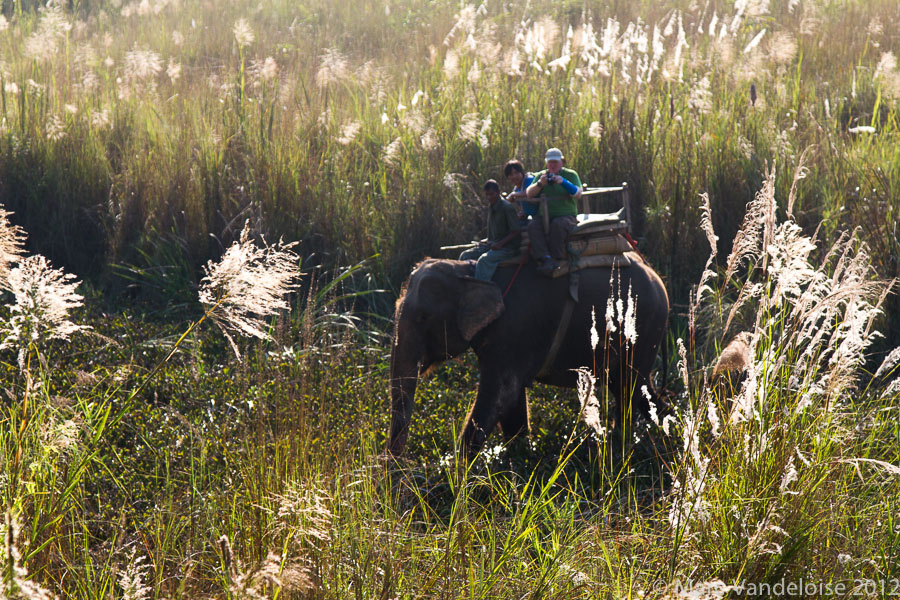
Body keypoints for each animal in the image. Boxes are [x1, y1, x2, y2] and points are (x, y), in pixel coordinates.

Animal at [386, 255, 668, 458]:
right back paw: (666, 429)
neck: (471, 272)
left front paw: (458, 472)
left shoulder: (514, 329)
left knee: (629, 388)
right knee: (639, 390)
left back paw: (622, 445)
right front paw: (521, 457)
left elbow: (500, 395)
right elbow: (513, 401)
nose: (395, 464)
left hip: (641, 330)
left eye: (423, 317)